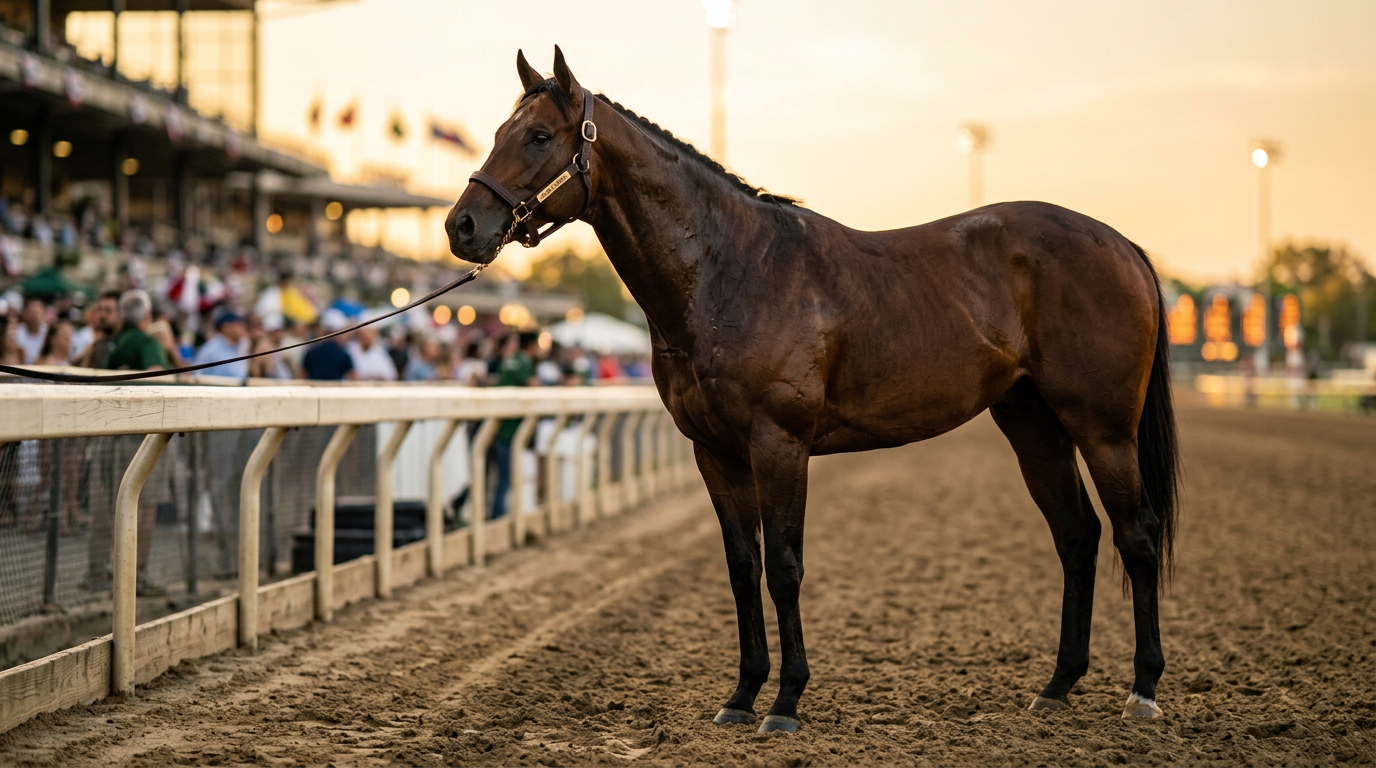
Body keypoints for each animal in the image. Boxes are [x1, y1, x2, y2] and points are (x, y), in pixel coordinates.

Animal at [445, 47, 1180, 734]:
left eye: (539, 135)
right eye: (500, 130)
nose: (462, 227)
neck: (730, 271)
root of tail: (1122, 246)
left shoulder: (780, 445)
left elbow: (785, 567)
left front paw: (786, 702)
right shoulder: (716, 453)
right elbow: (743, 568)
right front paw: (742, 696)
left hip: (1103, 429)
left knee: (1135, 535)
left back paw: (1143, 690)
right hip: (1034, 426)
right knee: (1077, 536)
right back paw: (1056, 687)